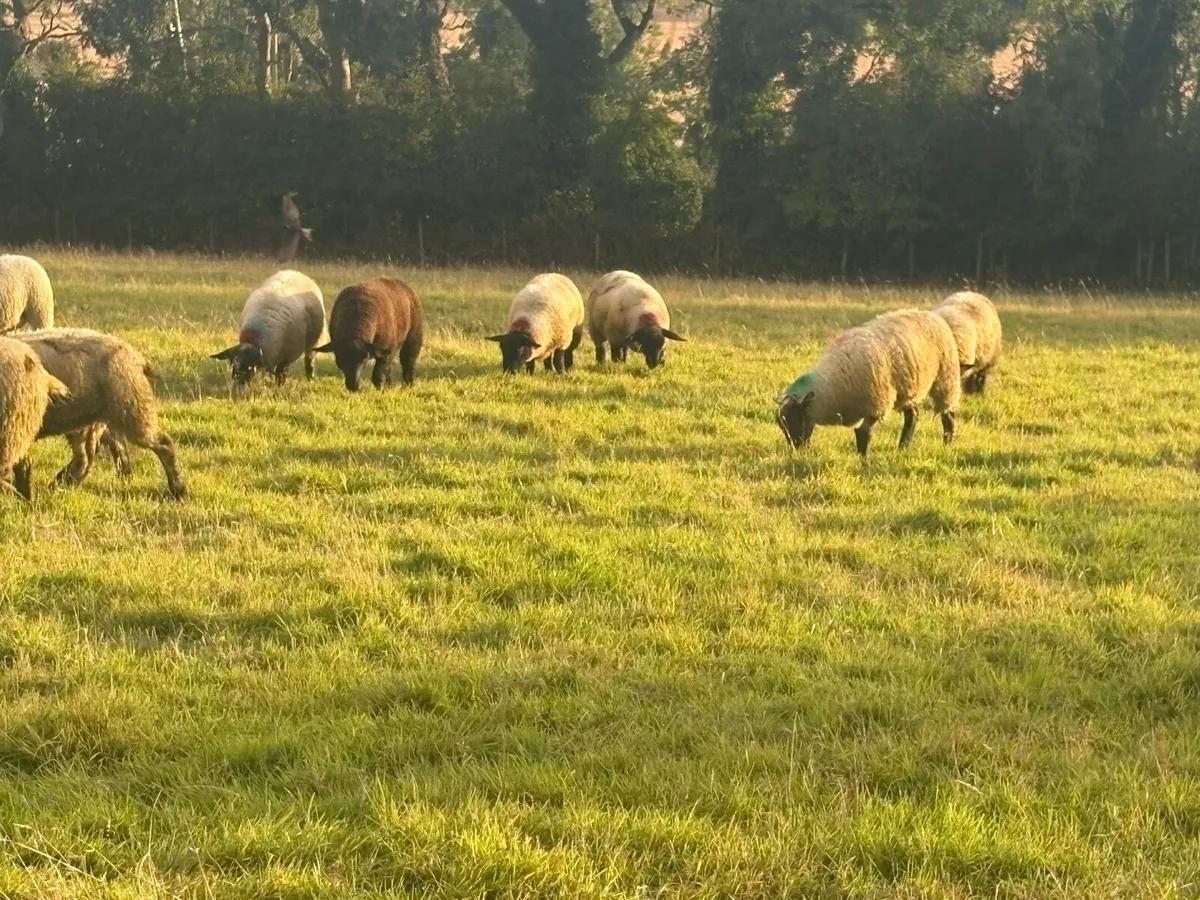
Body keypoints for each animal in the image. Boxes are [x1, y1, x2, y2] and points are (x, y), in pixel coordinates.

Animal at [15, 328, 188, 499]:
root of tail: (136, 357)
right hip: (87, 419)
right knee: (88, 455)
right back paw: (61, 483)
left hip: (133, 410)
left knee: (164, 444)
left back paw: (179, 490)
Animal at [776, 309, 962, 456]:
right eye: (781, 423)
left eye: (795, 417)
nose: (796, 449)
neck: (831, 384)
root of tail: (928, 313)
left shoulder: (876, 402)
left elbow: (863, 432)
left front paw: (863, 458)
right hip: (909, 387)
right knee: (912, 416)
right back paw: (903, 446)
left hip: (946, 377)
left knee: (947, 414)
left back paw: (947, 442)